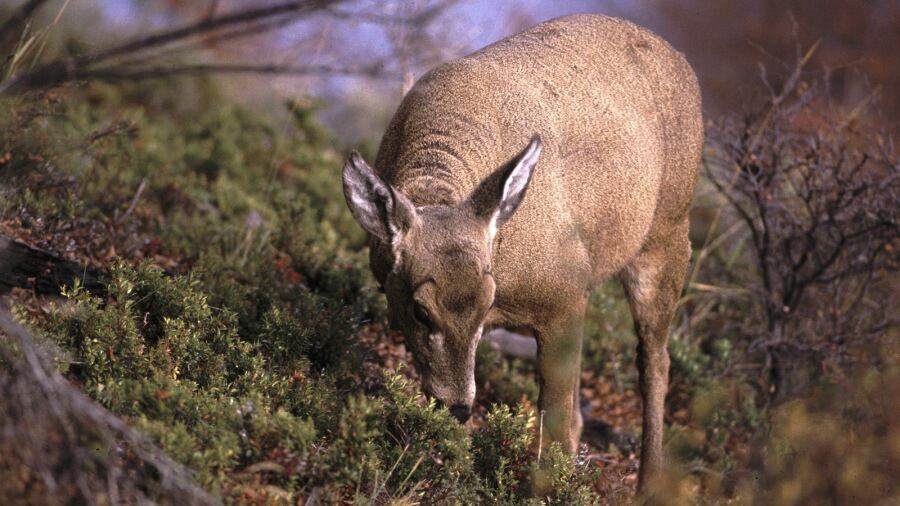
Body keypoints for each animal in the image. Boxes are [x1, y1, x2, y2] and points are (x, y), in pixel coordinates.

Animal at [342, 12, 700, 494]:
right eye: (419, 311)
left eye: (486, 300)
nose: (458, 406)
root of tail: (683, 63)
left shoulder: (564, 290)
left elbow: (555, 412)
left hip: (667, 234)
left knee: (654, 362)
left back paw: (648, 484)